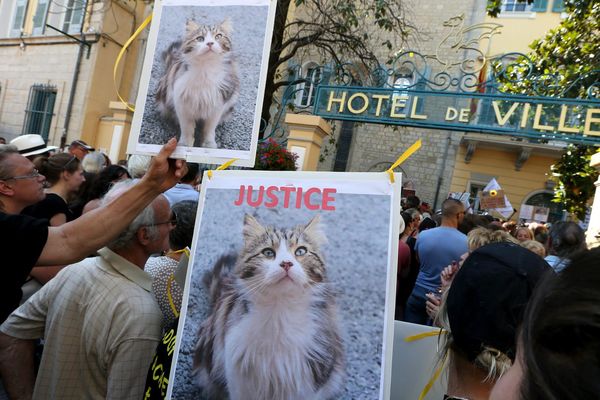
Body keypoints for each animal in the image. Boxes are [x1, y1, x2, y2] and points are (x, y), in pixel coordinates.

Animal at [155, 18, 239, 148]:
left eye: (218, 36)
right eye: (200, 38)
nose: (210, 43)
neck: (204, 70)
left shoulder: (218, 104)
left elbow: (210, 128)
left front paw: (209, 144)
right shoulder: (181, 103)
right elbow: (187, 129)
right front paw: (184, 145)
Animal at [195, 216, 344, 400]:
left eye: (300, 251)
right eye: (268, 253)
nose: (286, 263)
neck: (280, 311)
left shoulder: (310, 378)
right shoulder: (239, 377)